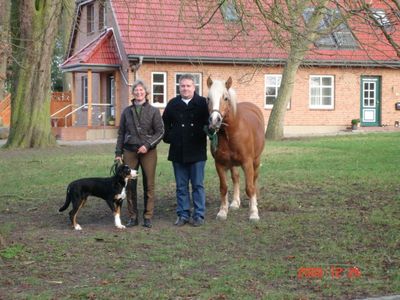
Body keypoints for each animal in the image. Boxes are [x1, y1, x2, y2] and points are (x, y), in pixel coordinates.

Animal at [206, 76, 266, 221]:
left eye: (225, 98)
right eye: (208, 98)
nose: (214, 120)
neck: (232, 132)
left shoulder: (247, 163)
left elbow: (250, 188)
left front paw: (253, 213)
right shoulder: (220, 164)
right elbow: (223, 187)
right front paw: (223, 211)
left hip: (256, 161)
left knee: (254, 180)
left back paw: (252, 203)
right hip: (232, 164)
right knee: (236, 178)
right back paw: (234, 202)